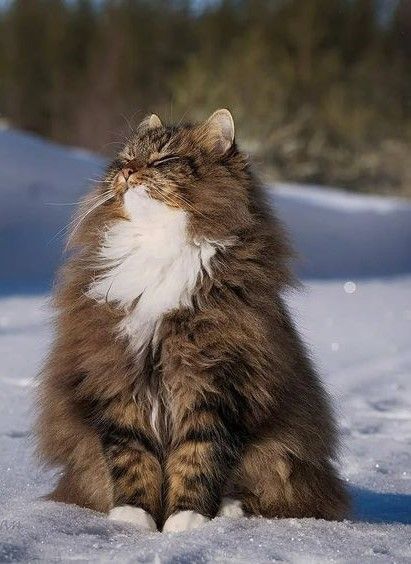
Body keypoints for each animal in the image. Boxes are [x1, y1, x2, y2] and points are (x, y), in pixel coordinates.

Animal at [36, 110, 350, 532]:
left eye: (163, 160)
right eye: (126, 159)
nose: (129, 172)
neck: (157, 245)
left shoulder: (218, 382)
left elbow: (198, 457)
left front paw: (186, 520)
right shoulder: (116, 375)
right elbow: (130, 456)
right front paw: (133, 518)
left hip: (280, 452)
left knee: (269, 492)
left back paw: (229, 509)